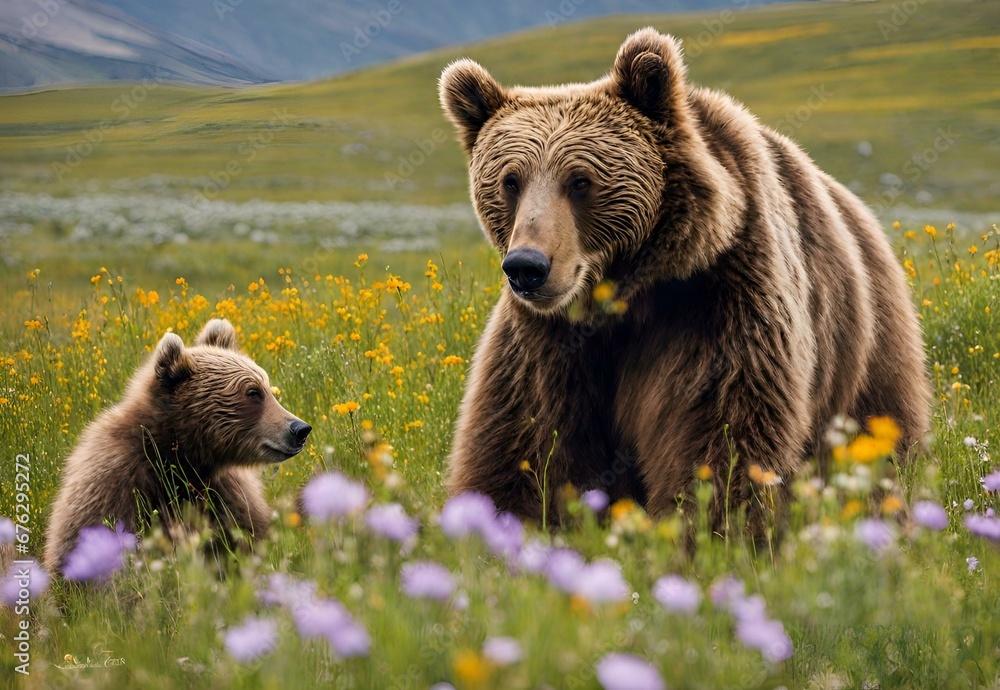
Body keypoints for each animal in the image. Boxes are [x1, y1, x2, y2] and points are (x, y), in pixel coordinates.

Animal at [438, 28, 931, 533]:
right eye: (510, 181)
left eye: (579, 181)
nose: (527, 266)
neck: (625, 297)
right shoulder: (549, 336)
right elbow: (526, 436)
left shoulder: (718, 296)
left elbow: (717, 428)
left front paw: (711, 528)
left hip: (864, 347)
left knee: (878, 432)